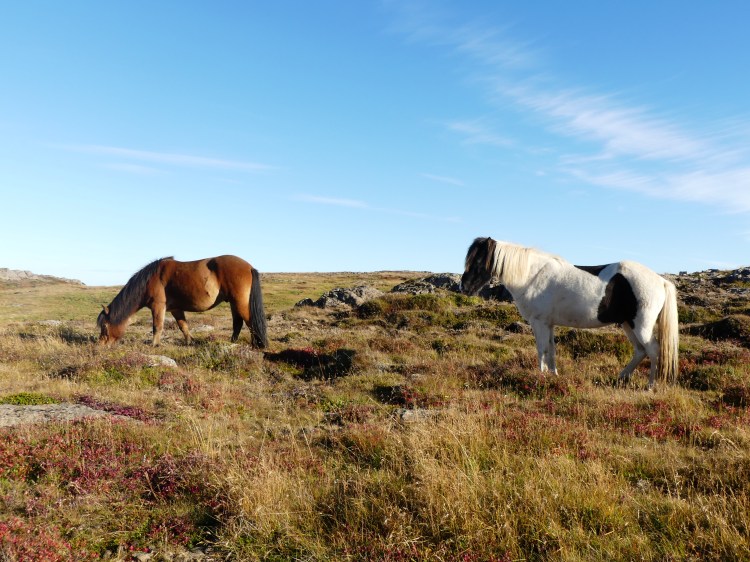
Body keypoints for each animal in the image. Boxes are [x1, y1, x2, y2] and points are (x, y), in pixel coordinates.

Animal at [97, 255, 268, 348]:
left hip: (240, 302)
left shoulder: (158, 306)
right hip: (233, 302)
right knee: (238, 323)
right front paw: (190, 342)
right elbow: (183, 327)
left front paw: (154, 345)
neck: (151, 279)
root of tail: (249, 267)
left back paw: (256, 344)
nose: (100, 346)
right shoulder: (175, 309)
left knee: (250, 322)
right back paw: (232, 342)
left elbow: (157, 326)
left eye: (105, 326)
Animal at [461, 238, 678, 389]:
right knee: (640, 351)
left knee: (653, 350)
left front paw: (540, 378)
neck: (532, 275)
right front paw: (553, 376)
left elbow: (542, 350)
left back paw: (650, 386)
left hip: (641, 325)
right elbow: (551, 351)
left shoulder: (539, 323)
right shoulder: (548, 323)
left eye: (479, 261)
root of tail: (661, 281)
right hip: (627, 324)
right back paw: (620, 378)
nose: (464, 287)